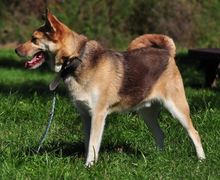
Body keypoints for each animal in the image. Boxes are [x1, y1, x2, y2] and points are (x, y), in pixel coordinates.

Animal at [14, 8, 205, 166]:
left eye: (34, 39)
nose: (15, 50)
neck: (76, 60)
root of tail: (166, 52)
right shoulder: (85, 115)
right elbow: (89, 143)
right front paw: (88, 163)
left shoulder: (98, 115)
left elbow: (93, 143)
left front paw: (88, 167)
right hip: (147, 113)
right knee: (160, 134)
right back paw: (157, 158)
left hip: (177, 109)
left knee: (194, 133)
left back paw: (201, 160)